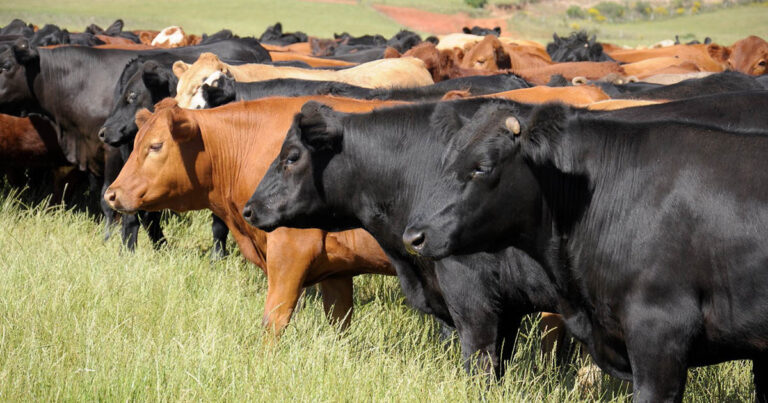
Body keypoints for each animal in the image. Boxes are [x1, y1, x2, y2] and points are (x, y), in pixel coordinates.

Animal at [106, 97, 402, 334]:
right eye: (135, 143)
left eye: (156, 146)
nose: (112, 194)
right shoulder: (337, 268)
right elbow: (339, 321)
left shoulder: (291, 251)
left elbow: (274, 320)